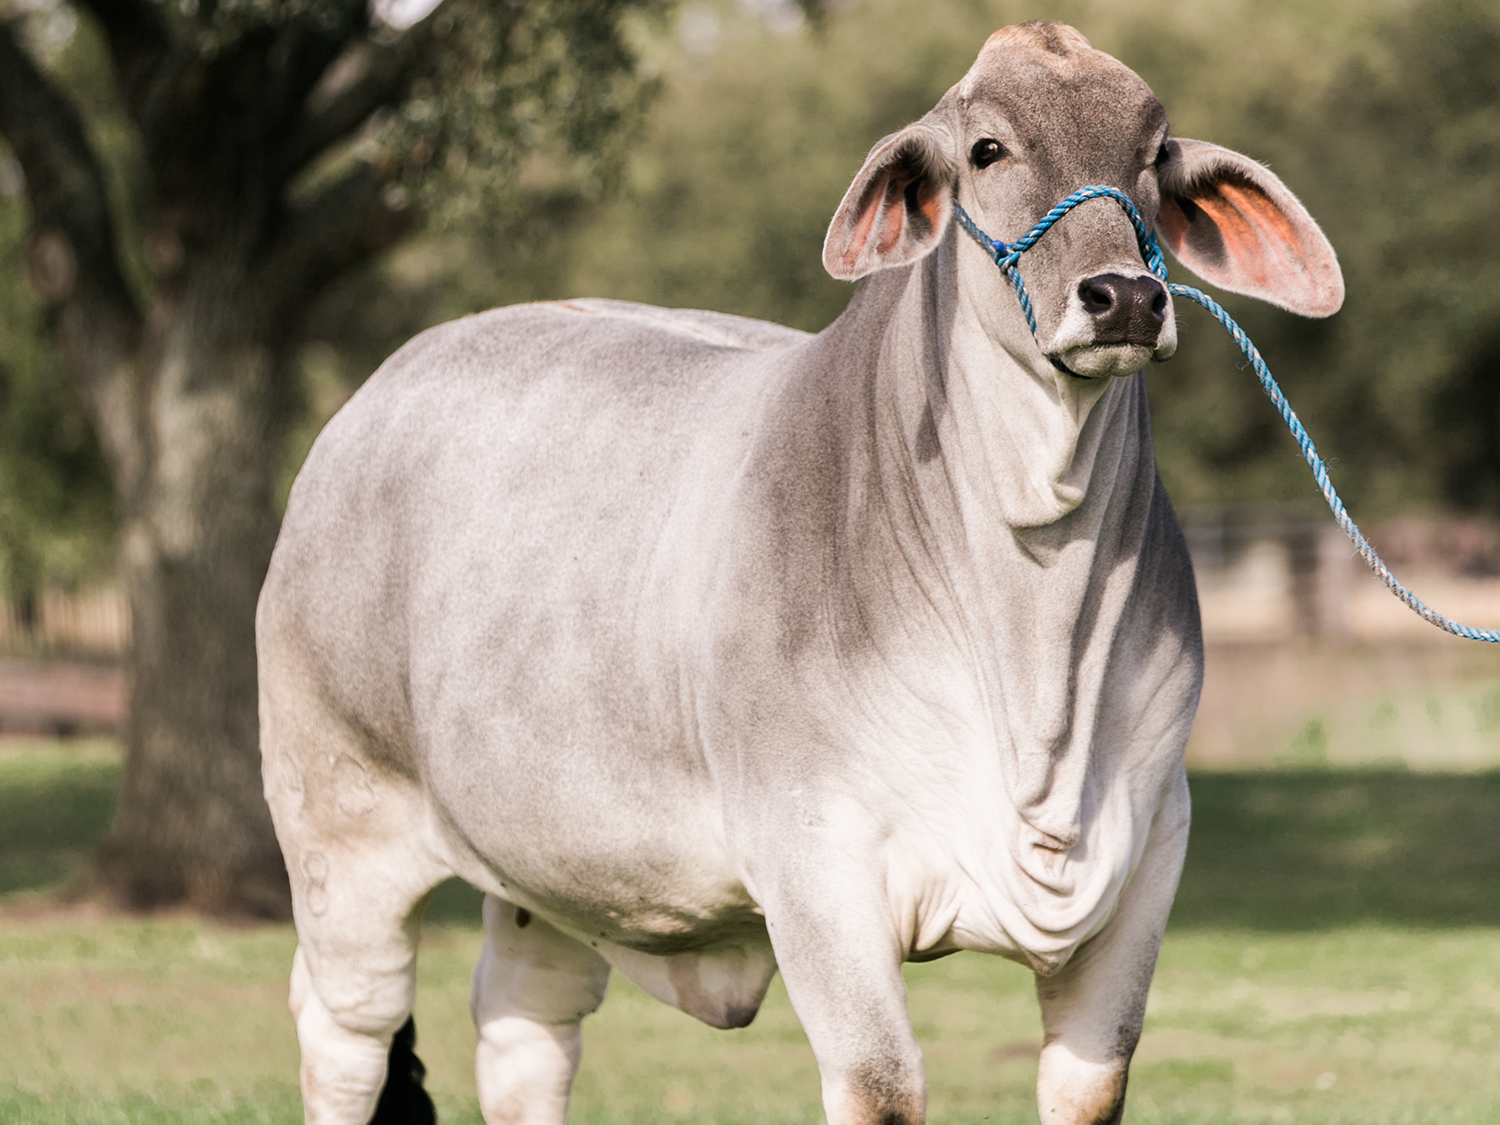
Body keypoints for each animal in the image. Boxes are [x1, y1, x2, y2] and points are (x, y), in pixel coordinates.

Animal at [255, 19, 1338, 1125]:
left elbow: (1091, 1085)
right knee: (347, 1029)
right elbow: (881, 1083)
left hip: (545, 863)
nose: (1125, 296)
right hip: (337, 817)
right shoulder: (818, 864)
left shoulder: (1149, 852)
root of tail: (367, 400)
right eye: (987, 149)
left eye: (1155, 158)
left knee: (525, 1026)